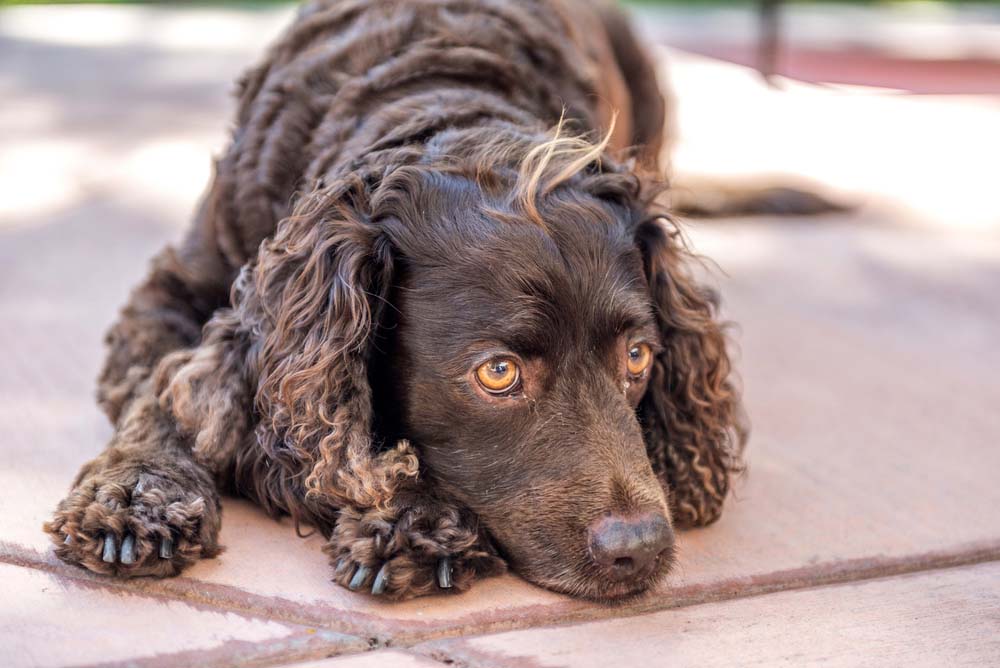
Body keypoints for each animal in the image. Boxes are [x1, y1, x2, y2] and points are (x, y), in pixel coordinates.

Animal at [48, 0, 752, 600]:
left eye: (637, 357)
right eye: (498, 372)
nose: (642, 547)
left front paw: (415, 519)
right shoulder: (170, 294)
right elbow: (163, 394)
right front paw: (138, 496)